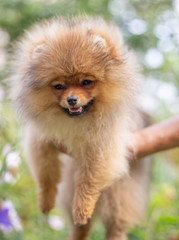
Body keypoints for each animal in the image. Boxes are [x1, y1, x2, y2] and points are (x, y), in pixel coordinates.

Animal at [9, 16, 150, 240]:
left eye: (86, 82)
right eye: (59, 86)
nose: (72, 99)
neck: (77, 121)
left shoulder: (101, 148)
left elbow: (87, 181)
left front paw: (82, 207)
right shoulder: (41, 139)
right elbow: (45, 174)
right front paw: (45, 200)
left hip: (120, 193)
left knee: (116, 223)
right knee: (81, 226)